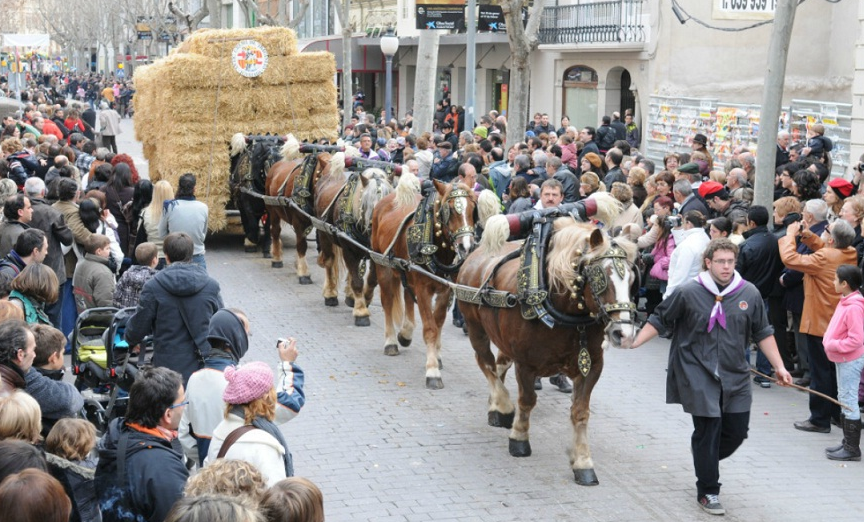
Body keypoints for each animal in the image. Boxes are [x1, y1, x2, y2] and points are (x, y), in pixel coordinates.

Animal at [264, 134, 342, 280]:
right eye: (327, 180)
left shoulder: (318, 221)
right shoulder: (298, 221)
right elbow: (302, 245)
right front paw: (303, 272)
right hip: (272, 209)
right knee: (275, 231)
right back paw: (276, 258)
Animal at [366, 173, 500, 388]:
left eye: (472, 209)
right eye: (450, 210)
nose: (466, 247)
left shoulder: (445, 290)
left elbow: (438, 324)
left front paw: (436, 357)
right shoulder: (423, 289)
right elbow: (429, 328)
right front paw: (432, 371)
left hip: (406, 270)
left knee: (406, 295)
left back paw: (406, 333)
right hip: (383, 265)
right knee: (387, 300)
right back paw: (391, 342)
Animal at [460, 194, 636, 484]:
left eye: (632, 278)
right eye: (601, 277)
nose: (624, 334)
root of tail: (477, 252)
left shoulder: (591, 366)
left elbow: (580, 411)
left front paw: (582, 461)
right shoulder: (526, 364)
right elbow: (527, 400)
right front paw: (519, 438)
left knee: (499, 365)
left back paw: (495, 406)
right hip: (475, 328)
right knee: (486, 365)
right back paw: (502, 406)